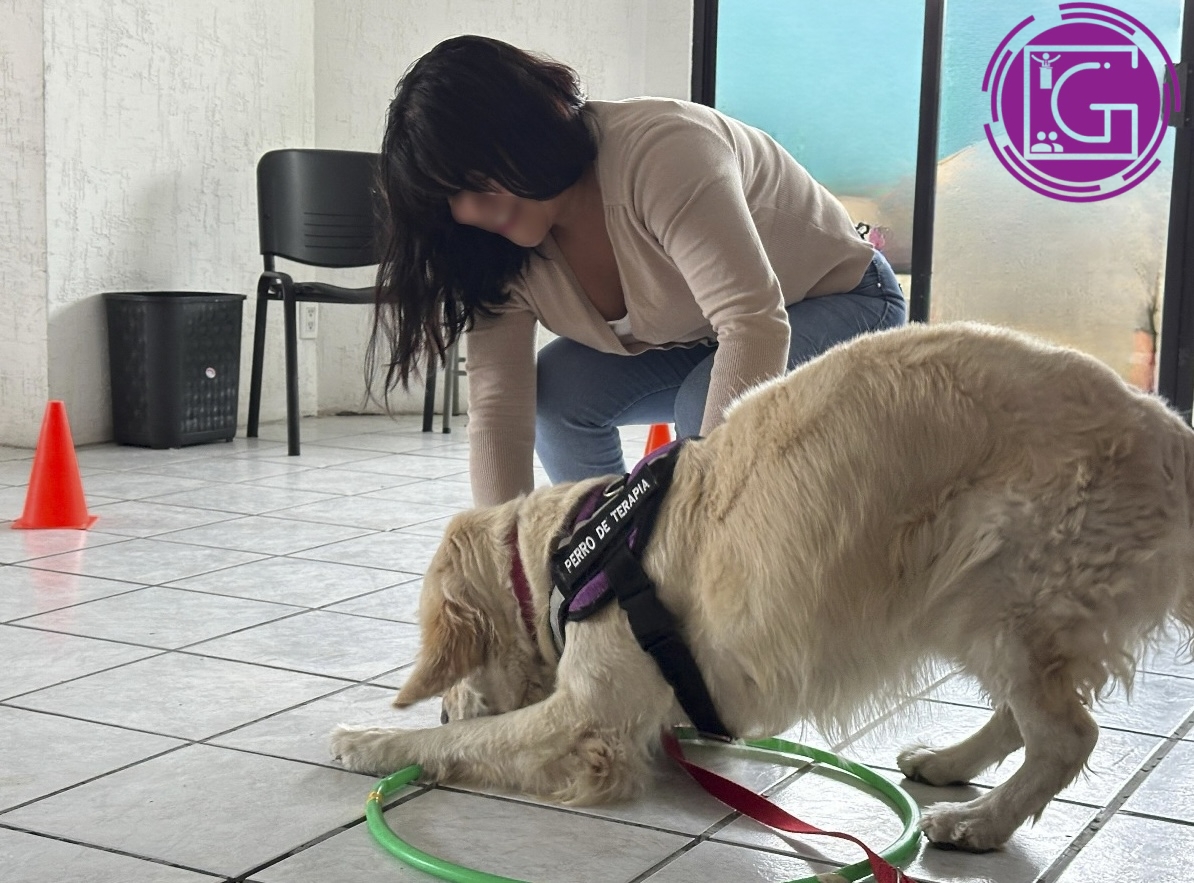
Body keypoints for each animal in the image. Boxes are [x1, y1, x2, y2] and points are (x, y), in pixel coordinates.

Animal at [332, 322, 1194, 852]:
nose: (449, 700)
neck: (568, 548)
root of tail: (1167, 429)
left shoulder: (587, 719)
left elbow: (474, 741)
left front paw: (374, 739)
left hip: (1005, 577)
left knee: (1067, 733)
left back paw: (981, 821)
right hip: (974, 594)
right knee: (1023, 716)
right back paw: (950, 763)